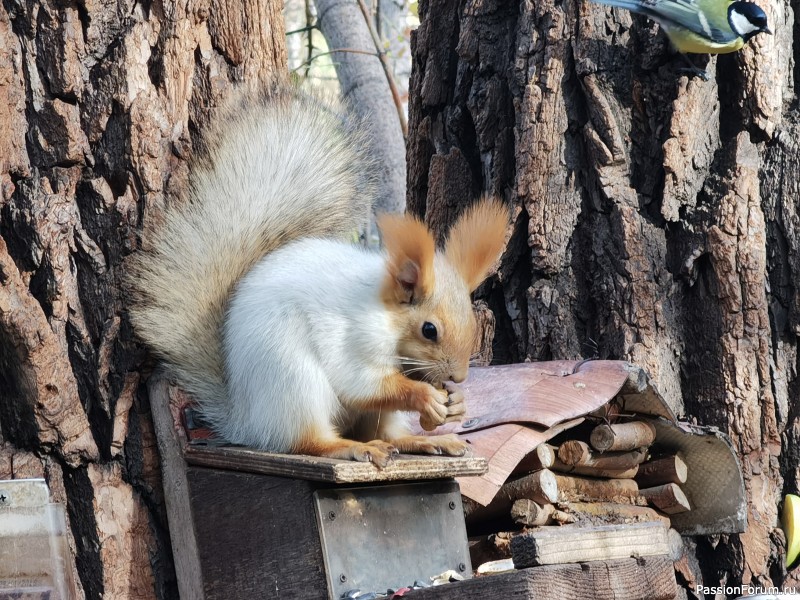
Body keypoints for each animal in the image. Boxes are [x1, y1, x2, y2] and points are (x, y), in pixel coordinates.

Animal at [128, 84, 510, 468]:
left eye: (472, 323)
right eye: (429, 330)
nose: (458, 377)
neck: (388, 317)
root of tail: (247, 420)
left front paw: (454, 405)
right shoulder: (355, 336)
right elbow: (360, 382)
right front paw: (423, 394)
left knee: (388, 433)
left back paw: (423, 441)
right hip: (293, 378)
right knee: (308, 440)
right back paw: (352, 447)